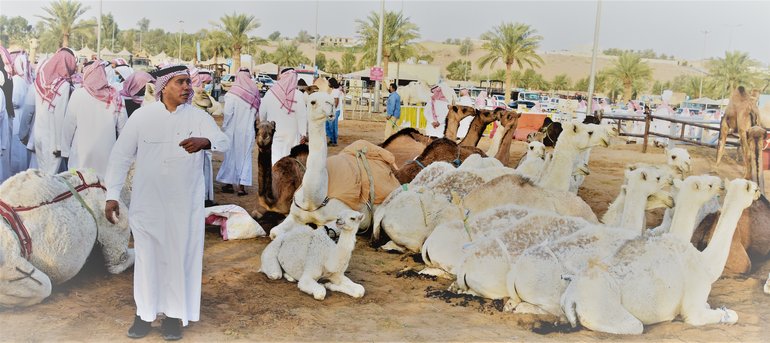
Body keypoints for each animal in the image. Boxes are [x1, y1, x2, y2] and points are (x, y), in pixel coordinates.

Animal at [560, 179, 756, 334]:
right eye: (750, 187)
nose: (758, 190)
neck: (705, 264)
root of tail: (571, 298)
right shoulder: (695, 303)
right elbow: (719, 315)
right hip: (604, 309)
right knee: (634, 326)